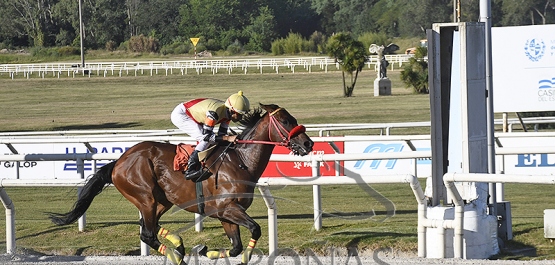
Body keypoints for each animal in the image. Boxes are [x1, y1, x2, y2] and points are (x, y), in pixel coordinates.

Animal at [50, 103, 314, 264]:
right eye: (286, 121)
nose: (309, 143)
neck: (241, 162)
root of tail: (118, 162)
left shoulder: (226, 214)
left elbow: (236, 246)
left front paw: (207, 250)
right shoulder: (228, 209)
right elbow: (256, 229)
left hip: (161, 200)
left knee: (149, 227)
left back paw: (178, 244)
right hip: (144, 196)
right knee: (147, 233)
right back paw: (177, 254)